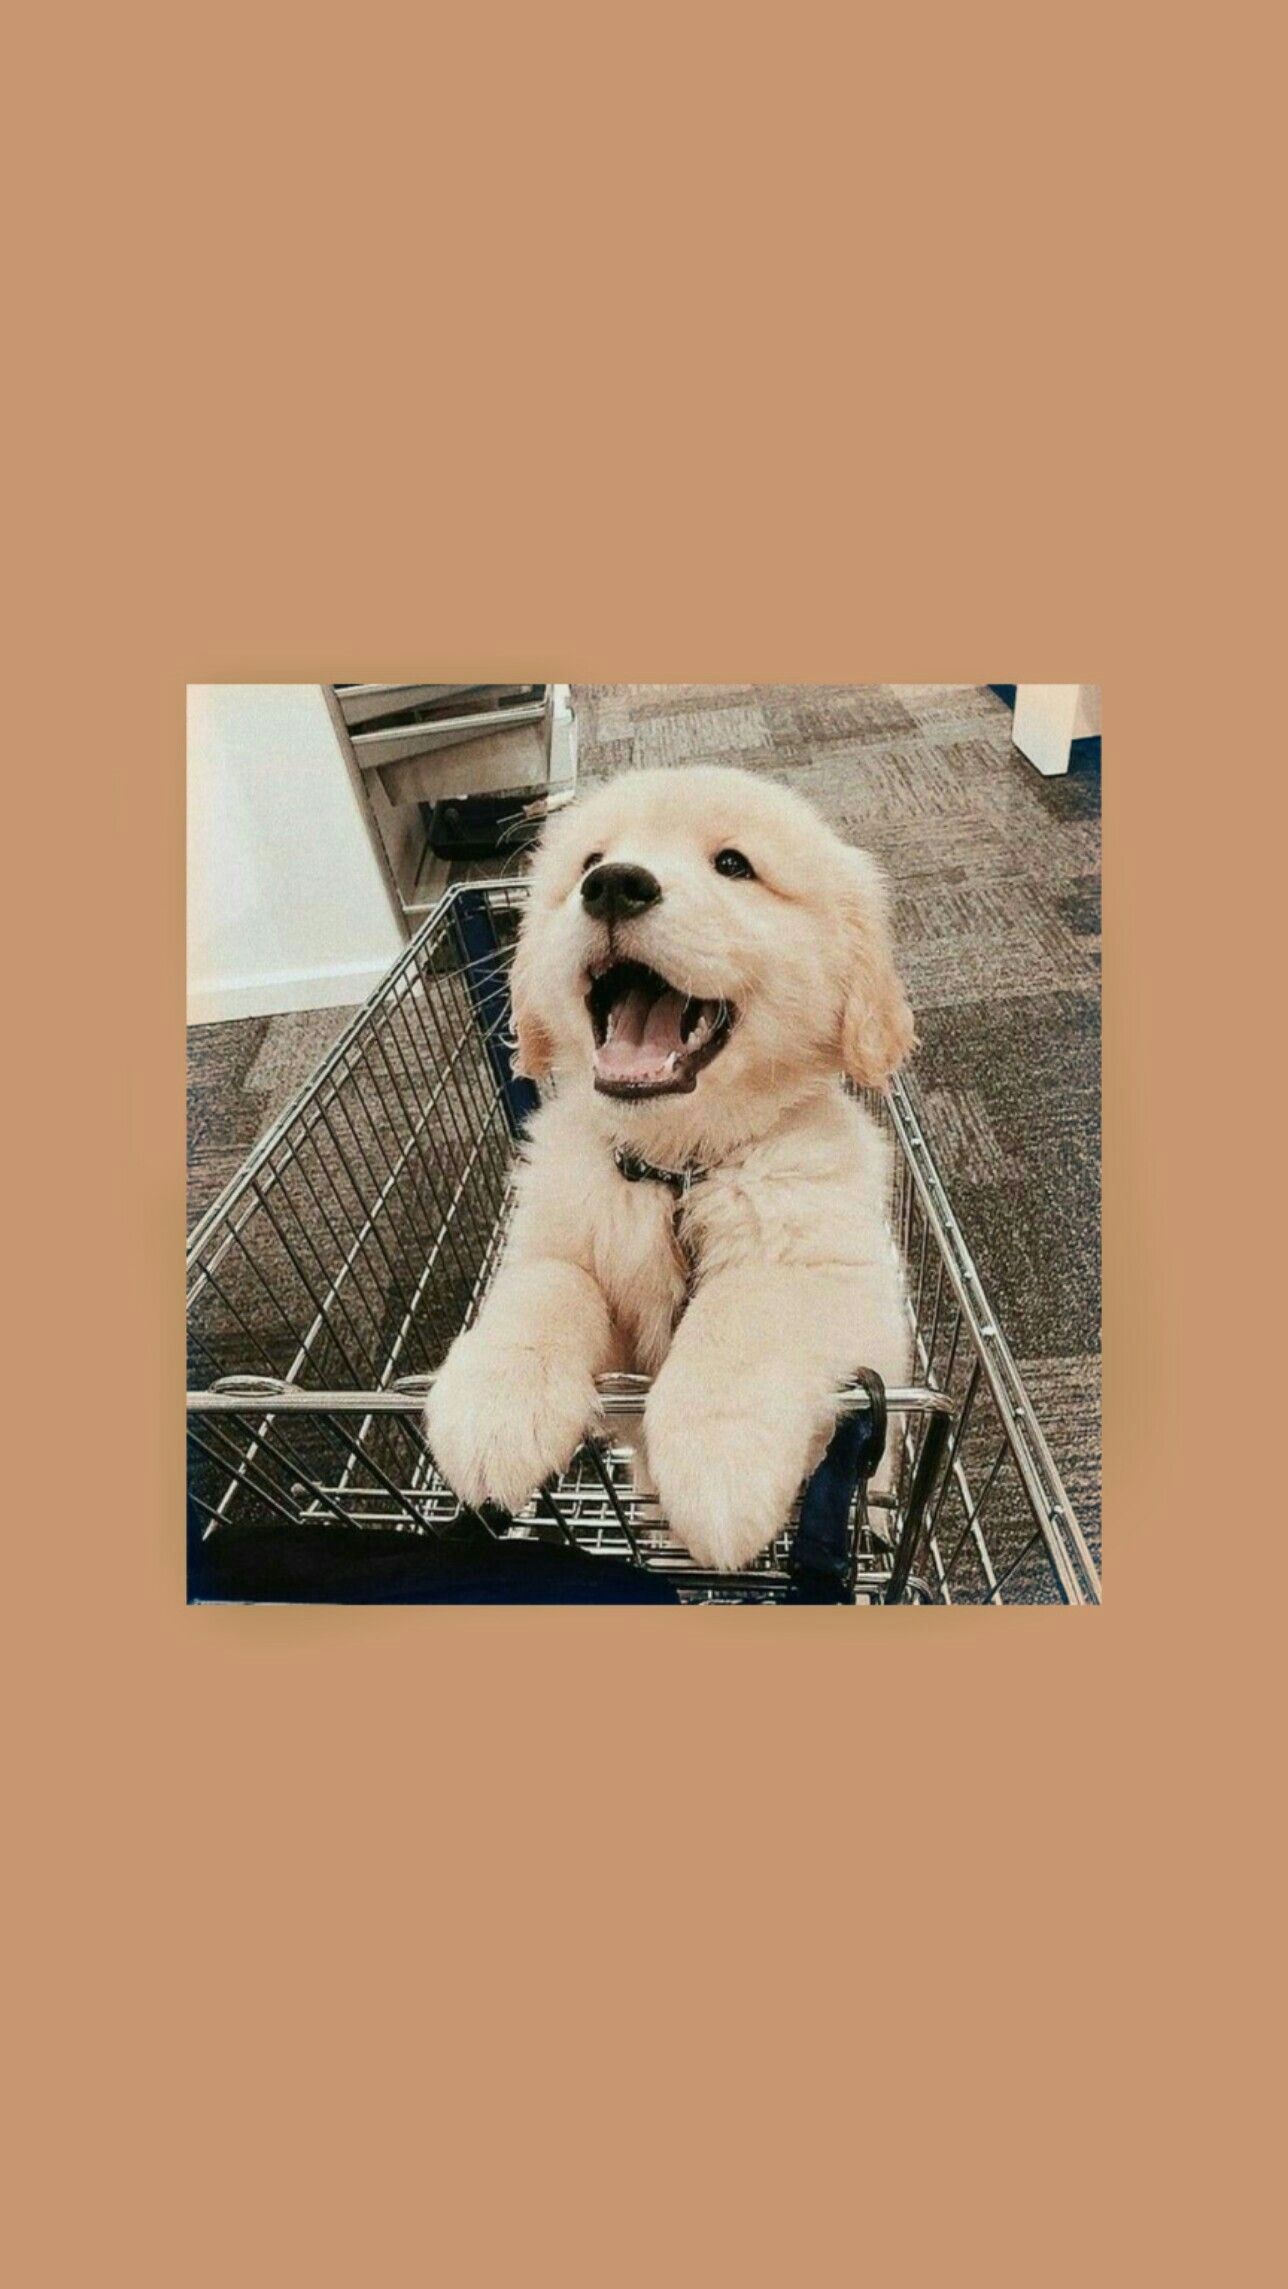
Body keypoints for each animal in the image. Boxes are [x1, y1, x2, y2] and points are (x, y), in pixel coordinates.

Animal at [430, 769, 915, 1574]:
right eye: (590, 859)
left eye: (734, 865)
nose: (613, 886)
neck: (677, 1172)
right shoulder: (561, 1239)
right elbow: (548, 1284)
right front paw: (496, 1400)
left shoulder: (840, 1276)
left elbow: (742, 1313)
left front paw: (717, 1456)